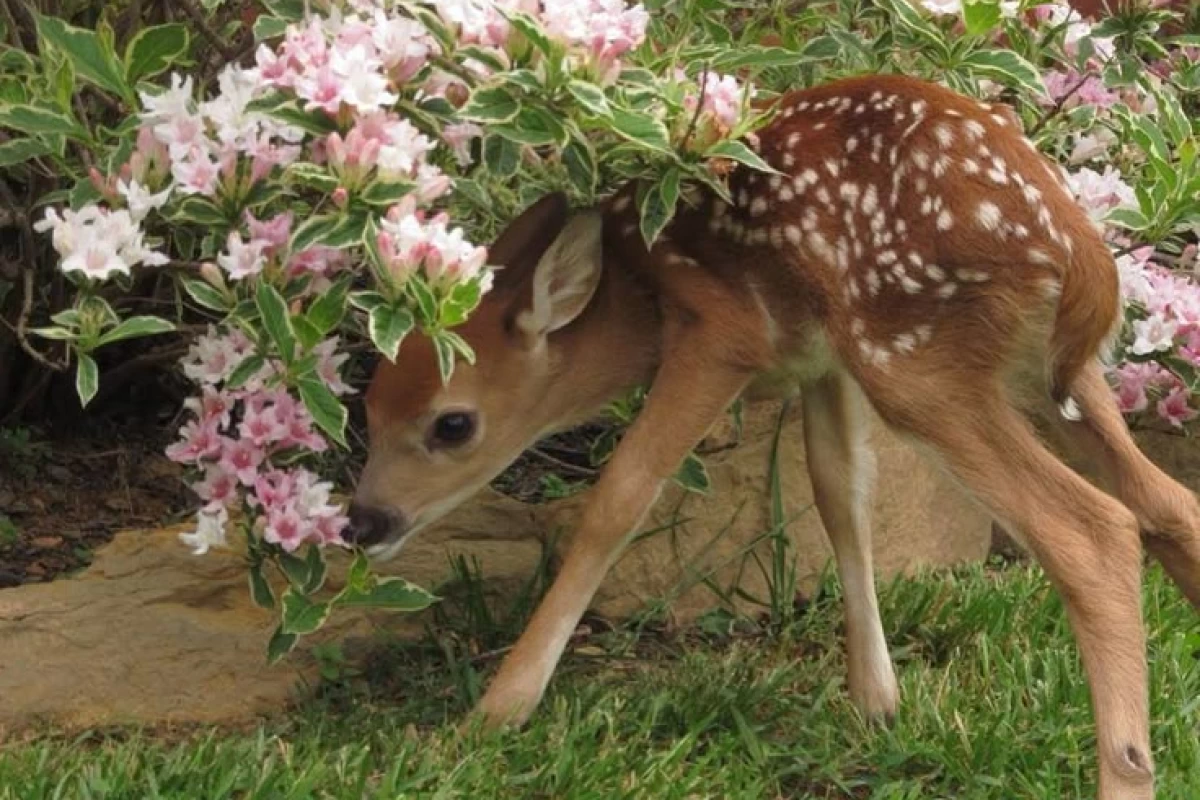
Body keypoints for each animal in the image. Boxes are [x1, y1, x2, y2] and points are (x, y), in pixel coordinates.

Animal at [345, 73, 1200, 799]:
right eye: (368, 403)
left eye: (453, 423)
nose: (364, 521)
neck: (636, 292)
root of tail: (1083, 257)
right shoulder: (821, 358)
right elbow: (840, 492)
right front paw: (878, 701)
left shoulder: (722, 336)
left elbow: (620, 497)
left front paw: (498, 712)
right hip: (1048, 375)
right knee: (1167, 503)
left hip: (917, 360)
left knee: (1093, 530)